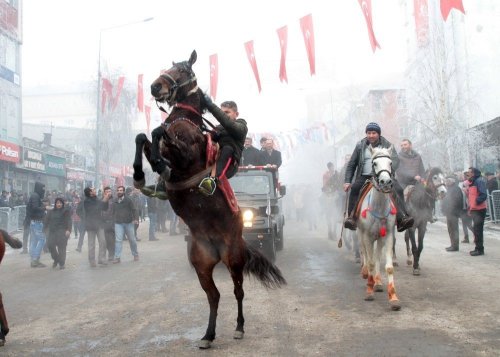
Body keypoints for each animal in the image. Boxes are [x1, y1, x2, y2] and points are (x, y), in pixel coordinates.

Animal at [133, 49, 286, 348]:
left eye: (182, 70)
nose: (156, 87)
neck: (184, 120)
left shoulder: (187, 154)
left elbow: (158, 134)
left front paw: (157, 163)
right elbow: (143, 135)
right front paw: (142, 174)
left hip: (234, 258)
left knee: (238, 292)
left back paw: (238, 327)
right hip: (201, 264)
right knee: (213, 296)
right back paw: (208, 335)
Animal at [358, 146, 400, 310]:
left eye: (390, 163)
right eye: (374, 163)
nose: (386, 182)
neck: (379, 206)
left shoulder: (387, 235)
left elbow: (388, 266)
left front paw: (393, 298)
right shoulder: (367, 236)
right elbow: (370, 262)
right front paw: (369, 292)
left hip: (379, 237)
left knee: (376, 256)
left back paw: (377, 281)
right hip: (361, 234)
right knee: (365, 253)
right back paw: (366, 274)